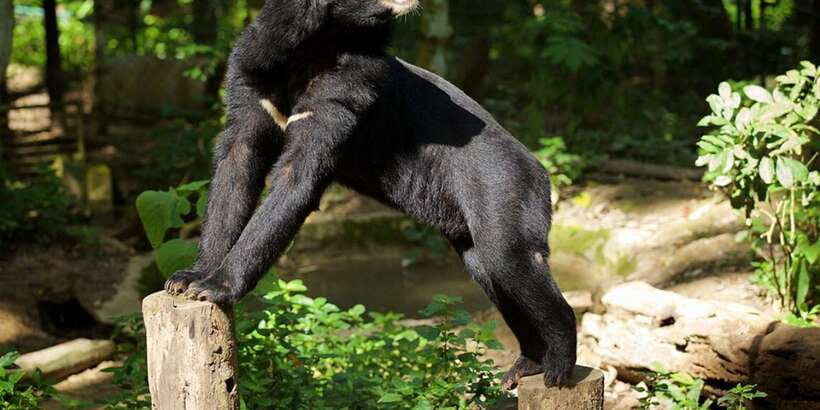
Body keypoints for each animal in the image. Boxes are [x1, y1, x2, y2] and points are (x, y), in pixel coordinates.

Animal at [164, 0, 577, 389]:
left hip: (502, 188)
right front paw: (188, 278)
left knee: (509, 256)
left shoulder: (348, 86)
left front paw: (213, 287)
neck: (321, 38)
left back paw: (557, 367)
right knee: (490, 267)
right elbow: (236, 166)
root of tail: (540, 170)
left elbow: (297, 176)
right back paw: (526, 365)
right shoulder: (252, 77)